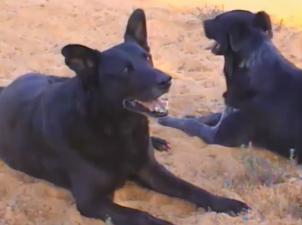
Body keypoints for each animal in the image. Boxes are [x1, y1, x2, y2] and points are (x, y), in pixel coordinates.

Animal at [0, 8, 249, 225]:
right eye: (125, 70)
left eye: (147, 57)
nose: (167, 80)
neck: (118, 128)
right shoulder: (92, 201)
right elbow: (142, 216)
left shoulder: (151, 171)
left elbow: (190, 188)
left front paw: (226, 203)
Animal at [158, 9, 302, 163]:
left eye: (218, 19)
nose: (204, 21)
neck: (251, 65)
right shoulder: (226, 113)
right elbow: (207, 117)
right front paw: (188, 116)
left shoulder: (218, 136)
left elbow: (193, 125)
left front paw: (168, 120)